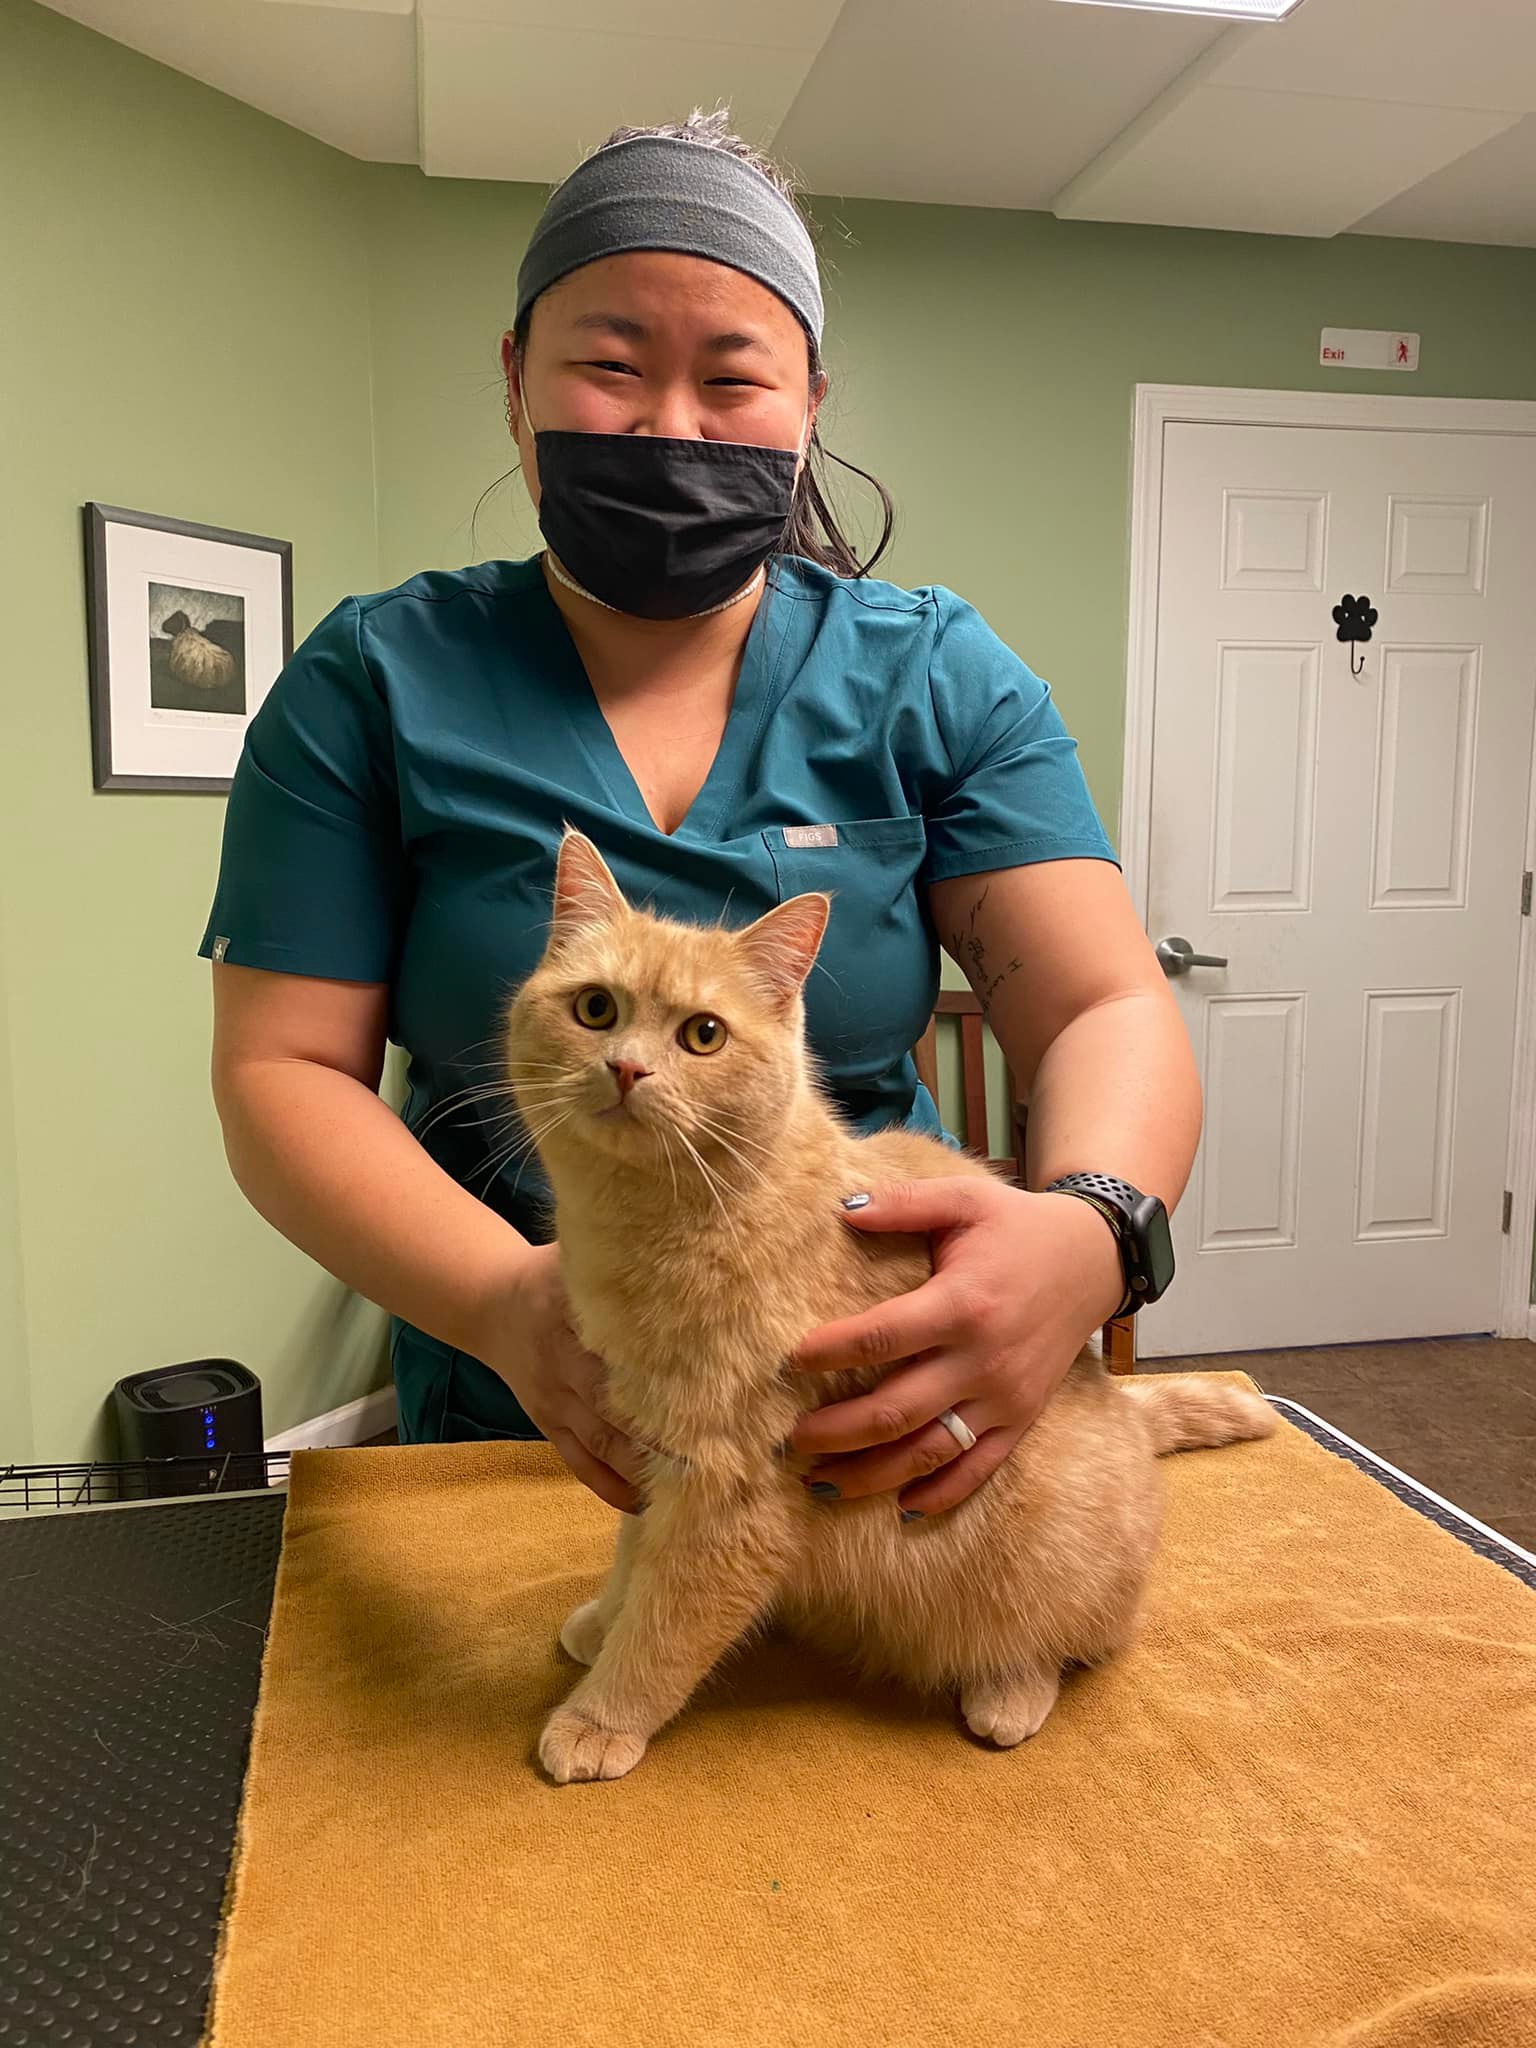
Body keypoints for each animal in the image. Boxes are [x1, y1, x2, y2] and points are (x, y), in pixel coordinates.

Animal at [503, 827, 1274, 1784]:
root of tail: (1127, 1419)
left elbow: (665, 1623)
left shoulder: (730, 1493)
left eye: (703, 1035)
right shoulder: (654, 1451)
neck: (652, 1225)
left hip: (1046, 1572)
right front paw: (603, 1618)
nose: (625, 1067)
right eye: (596, 1010)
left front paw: (602, 1714)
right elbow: (630, 1556)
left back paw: (1008, 1692)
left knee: (1059, 1642)